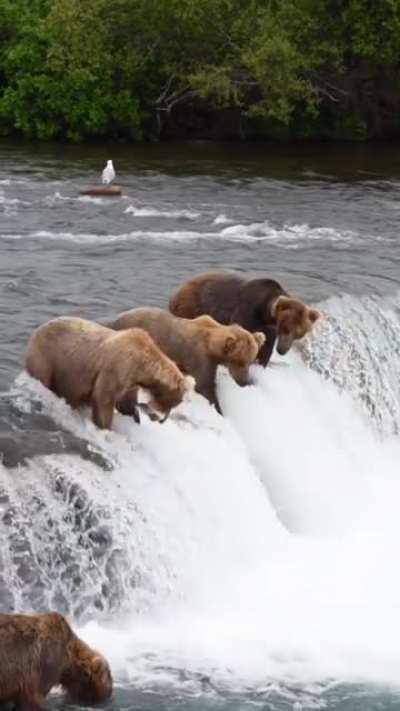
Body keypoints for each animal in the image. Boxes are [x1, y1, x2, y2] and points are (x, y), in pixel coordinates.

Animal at [26, 317, 194, 429]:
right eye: (176, 401)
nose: (161, 420)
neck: (141, 366)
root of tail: (37, 329)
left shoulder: (130, 381)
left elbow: (126, 402)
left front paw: (133, 416)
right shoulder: (117, 367)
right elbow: (104, 398)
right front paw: (105, 426)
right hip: (47, 358)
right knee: (42, 376)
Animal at [106, 307, 265, 414]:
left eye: (250, 361)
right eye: (240, 361)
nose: (245, 381)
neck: (212, 347)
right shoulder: (199, 357)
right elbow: (204, 386)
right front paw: (219, 410)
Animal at [169, 272, 320, 367]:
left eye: (299, 334)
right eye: (286, 328)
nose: (282, 350)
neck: (264, 313)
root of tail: (178, 291)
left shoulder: (268, 329)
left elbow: (265, 350)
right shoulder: (247, 311)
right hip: (192, 307)